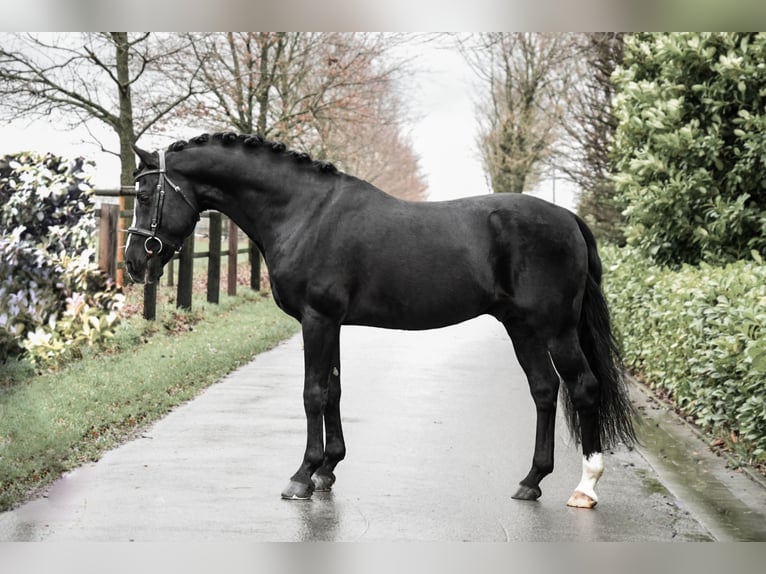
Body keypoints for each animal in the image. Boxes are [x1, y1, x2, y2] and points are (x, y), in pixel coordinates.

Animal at [126, 133, 640, 510]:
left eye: (146, 193)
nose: (134, 263)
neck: (304, 213)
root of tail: (568, 218)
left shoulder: (317, 320)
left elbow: (312, 394)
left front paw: (301, 476)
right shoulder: (330, 323)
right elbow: (332, 389)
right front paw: (328, 470)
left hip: (556, 329)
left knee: (583, 387)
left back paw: (585, 488)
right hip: (521, 326)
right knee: (544, 390)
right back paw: (531, 480)